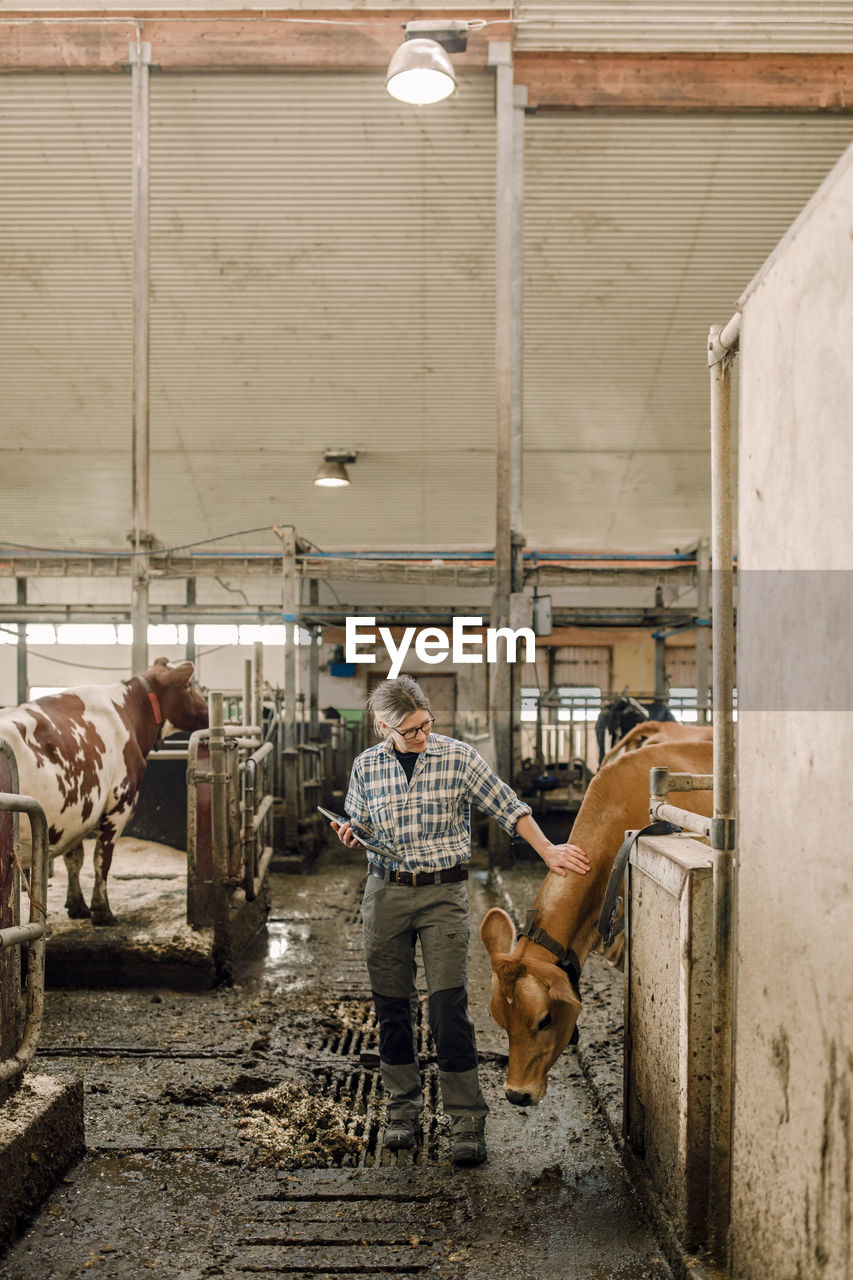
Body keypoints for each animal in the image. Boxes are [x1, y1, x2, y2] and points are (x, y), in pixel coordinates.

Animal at [2, 665, 208, 926]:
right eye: (189, 686)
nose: (209, 713)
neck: (125, 709)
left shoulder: (76, 813)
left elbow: (75, 859)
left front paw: (77, 906)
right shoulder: (119, 804)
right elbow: (102, 859)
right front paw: (102, 910)